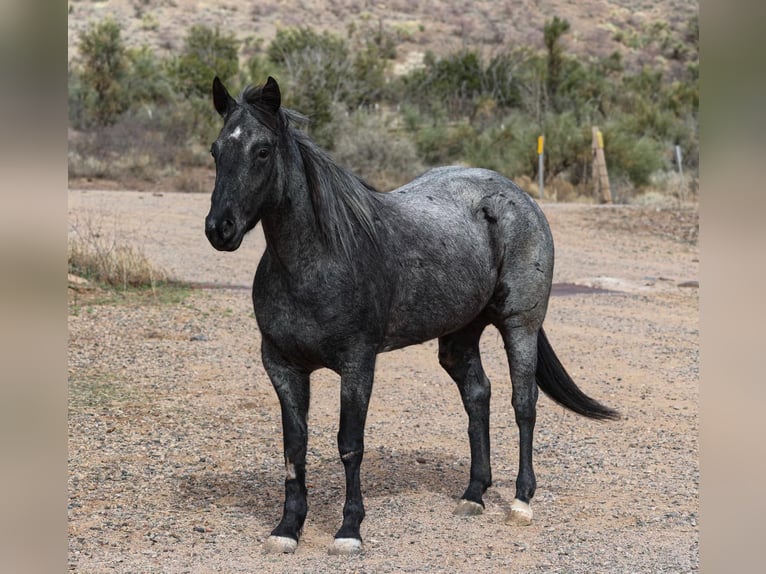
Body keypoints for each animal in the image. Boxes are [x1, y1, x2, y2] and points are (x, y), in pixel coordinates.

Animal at [204, 76, 619, 556]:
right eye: (216, 149)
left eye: (263, 150)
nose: (219, 229)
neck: (317, 260)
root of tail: (520, 199)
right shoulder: (282, 366)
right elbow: (295, 446)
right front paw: (288, 528)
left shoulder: (357, 364)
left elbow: (350, 444)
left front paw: (349, 529)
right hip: (459, 336)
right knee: (478, 395)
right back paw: (474, 494)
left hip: (520, 326)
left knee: (523, 403)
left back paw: (520, 501)